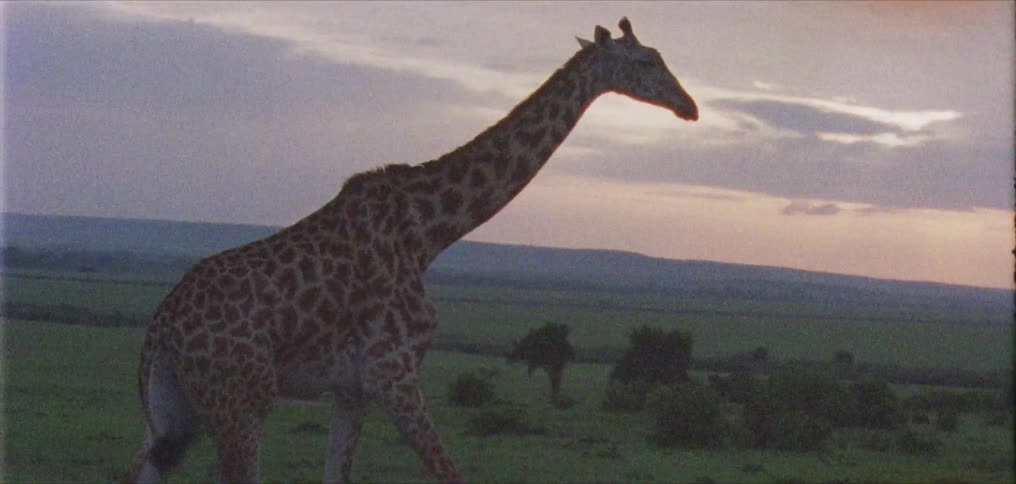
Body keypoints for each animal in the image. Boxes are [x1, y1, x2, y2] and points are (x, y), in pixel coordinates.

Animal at [123, 17, 697, 484]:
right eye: (646, 61)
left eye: (661, 56)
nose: (689, 107)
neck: (427, 232)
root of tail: (161, 327)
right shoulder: (393, 374)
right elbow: (450, 472)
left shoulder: (352, 389)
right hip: (242, 401)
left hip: (173, 411)